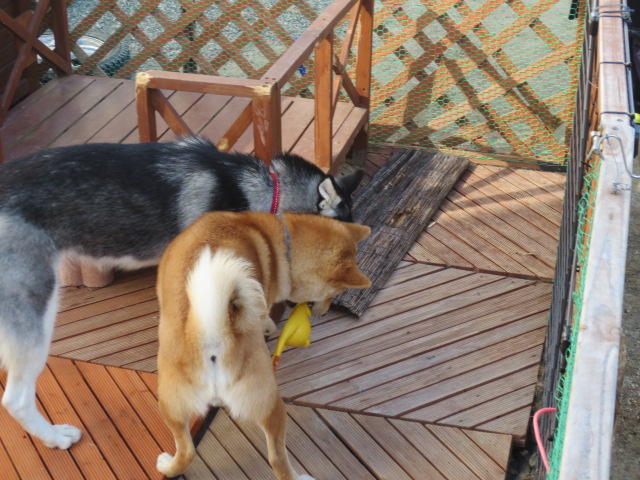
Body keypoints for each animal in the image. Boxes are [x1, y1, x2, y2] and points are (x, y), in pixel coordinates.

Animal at [0, 136, 364, 450]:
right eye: (332, 264)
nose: (321, 311)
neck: (266, 194)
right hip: (35, 315)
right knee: (16, 399)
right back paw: (55, 438)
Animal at [155, 211, 371, 479]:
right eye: (334, 293)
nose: (323, 311)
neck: (285, 245)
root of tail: (211, 335)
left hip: (176, 406)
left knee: (191, 451)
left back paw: (167, 465)